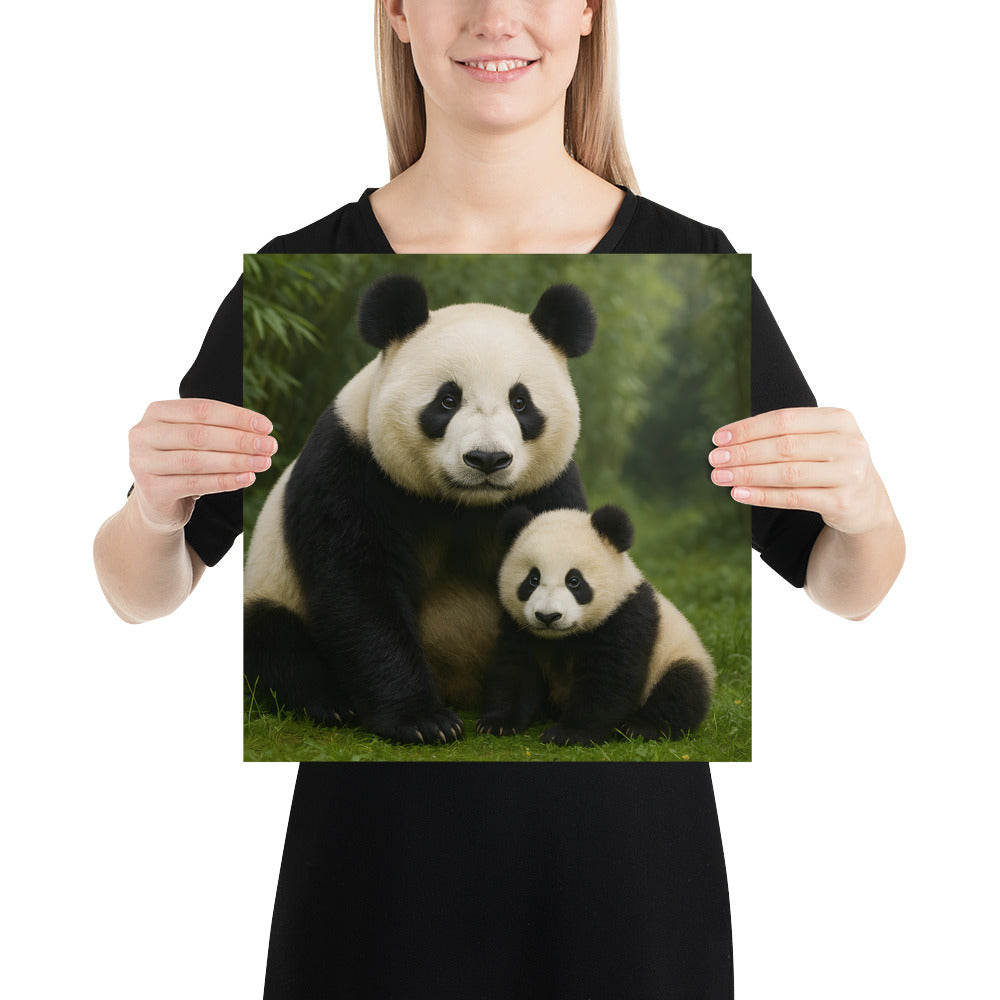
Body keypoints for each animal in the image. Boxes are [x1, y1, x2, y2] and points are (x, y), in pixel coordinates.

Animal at [244, 274, 596, 745]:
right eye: (447, 400)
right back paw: (329, 705)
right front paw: (424, 721)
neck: (463, 504)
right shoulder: (352, 467)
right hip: (272, 584)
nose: (487, 459)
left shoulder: (550, 488)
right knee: (273, 639)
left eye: (521, 403)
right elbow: (359, 591)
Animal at [476, 504, 716, 746]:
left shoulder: (624, 618)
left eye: (574, 581)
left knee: (680, 690)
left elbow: (607, 678)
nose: (548, 616)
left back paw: (640, 728)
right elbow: (514, 668)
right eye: (533, 579)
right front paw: (497, 723)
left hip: (675, 656)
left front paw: (569, 733)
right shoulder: (518, 626)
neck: (562, 638)